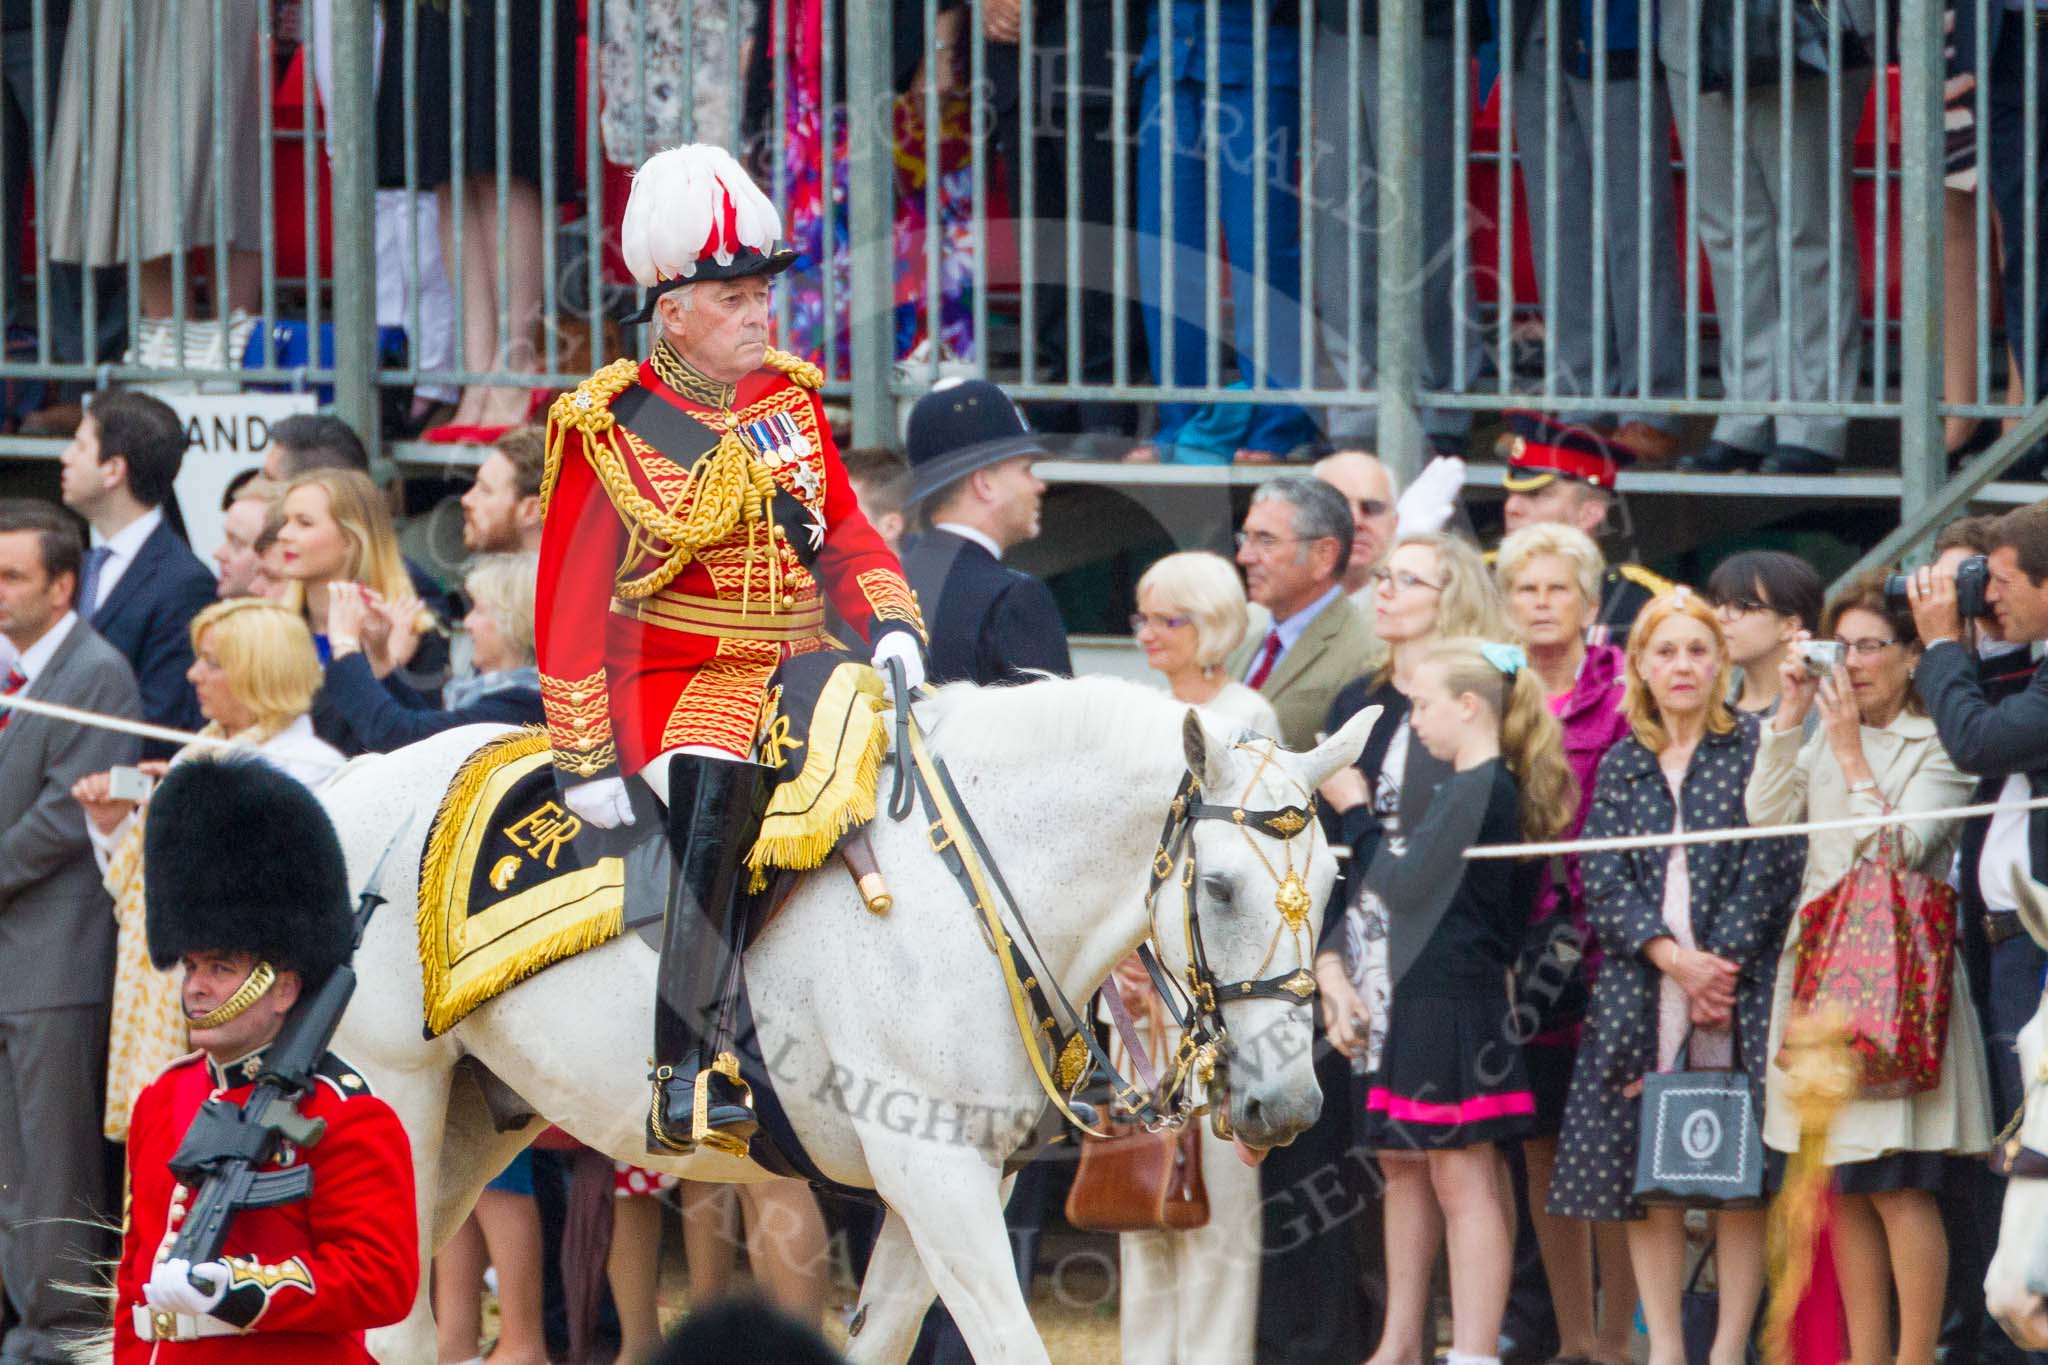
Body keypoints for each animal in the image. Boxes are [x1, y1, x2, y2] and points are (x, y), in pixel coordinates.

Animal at [319, 679, 1368, 1358]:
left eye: (1329, 879)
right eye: (1220, 886)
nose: (1288, 1105)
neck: (974, 894)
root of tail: (340, 784)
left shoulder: (953, 1185)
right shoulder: (934, 1173)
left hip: (472, 1119)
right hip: (398, 1096)